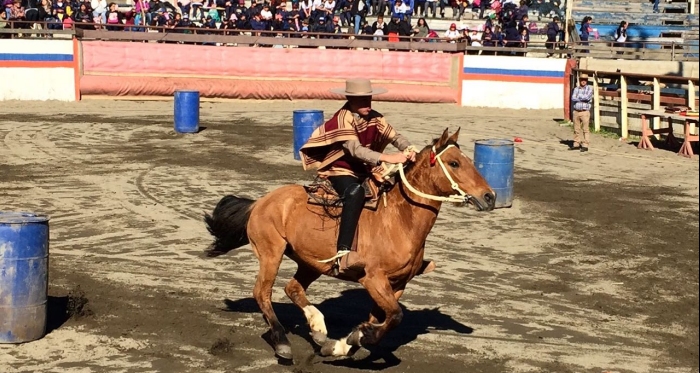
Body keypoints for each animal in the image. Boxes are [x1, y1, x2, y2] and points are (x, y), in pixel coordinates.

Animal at [202, 127, 498, 360]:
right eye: (454, 163)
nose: (490, 196)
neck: (399, 219)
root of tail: (260, 202)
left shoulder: (398, 284)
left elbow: (380, 318)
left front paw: (342, 344)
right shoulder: (373, 279)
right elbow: (394, 316)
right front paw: (358, 338)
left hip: (311, 263)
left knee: (292, 288)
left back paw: (319, 329)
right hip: (270, 253)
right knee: (262, 293)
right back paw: (283, 342)